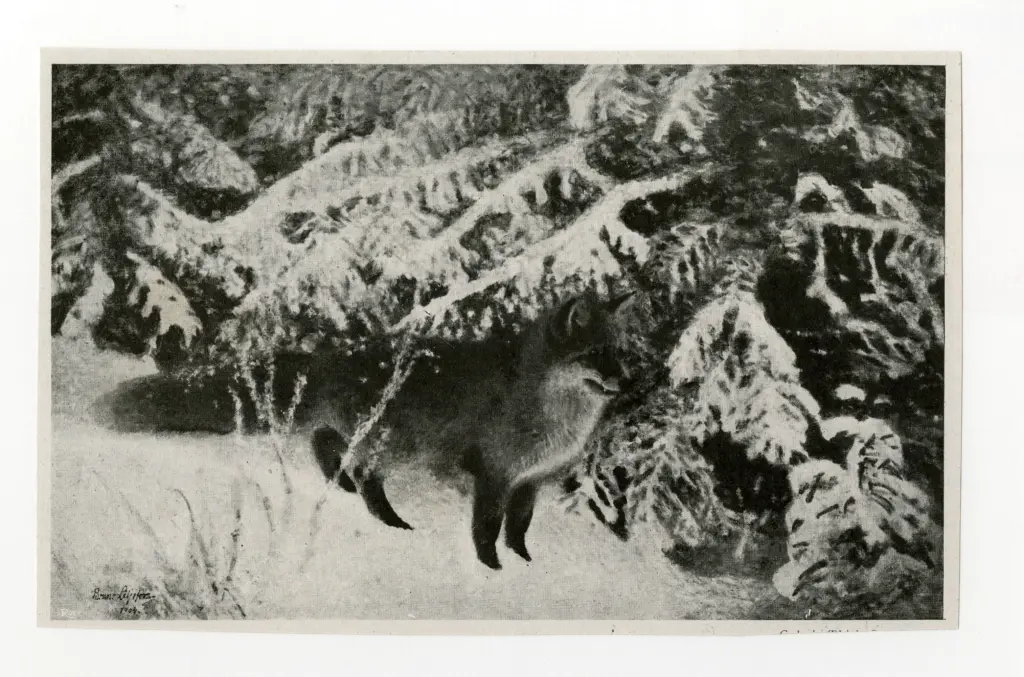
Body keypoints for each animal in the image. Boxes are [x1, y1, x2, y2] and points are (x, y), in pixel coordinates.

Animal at [311, 291, 634, 570]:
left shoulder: (529, 481)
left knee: (323, 440)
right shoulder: (495, 474)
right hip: (397, 447)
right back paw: (393, 523)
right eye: (594, 352)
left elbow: (518, 530)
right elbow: (487, 530)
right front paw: (492, 568)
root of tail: (343, 353)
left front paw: (524, 564)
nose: (627, 381)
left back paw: (341, 485)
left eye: (618, 352)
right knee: (362, 474)